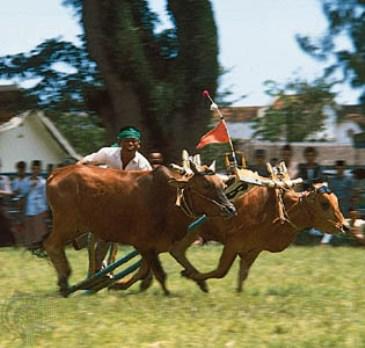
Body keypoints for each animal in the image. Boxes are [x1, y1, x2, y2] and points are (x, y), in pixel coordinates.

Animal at [44, 163, 235, 296]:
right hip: (68, 224)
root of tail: (57, 172)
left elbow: (145, 271)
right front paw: (167, 294)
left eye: (223, 186)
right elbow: (159, 274)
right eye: (205, 185)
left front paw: (119, 285)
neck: (167, 199)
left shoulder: (153, 247)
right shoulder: (143, 243)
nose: (230, 209)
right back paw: (65, 282)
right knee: (51, 245)